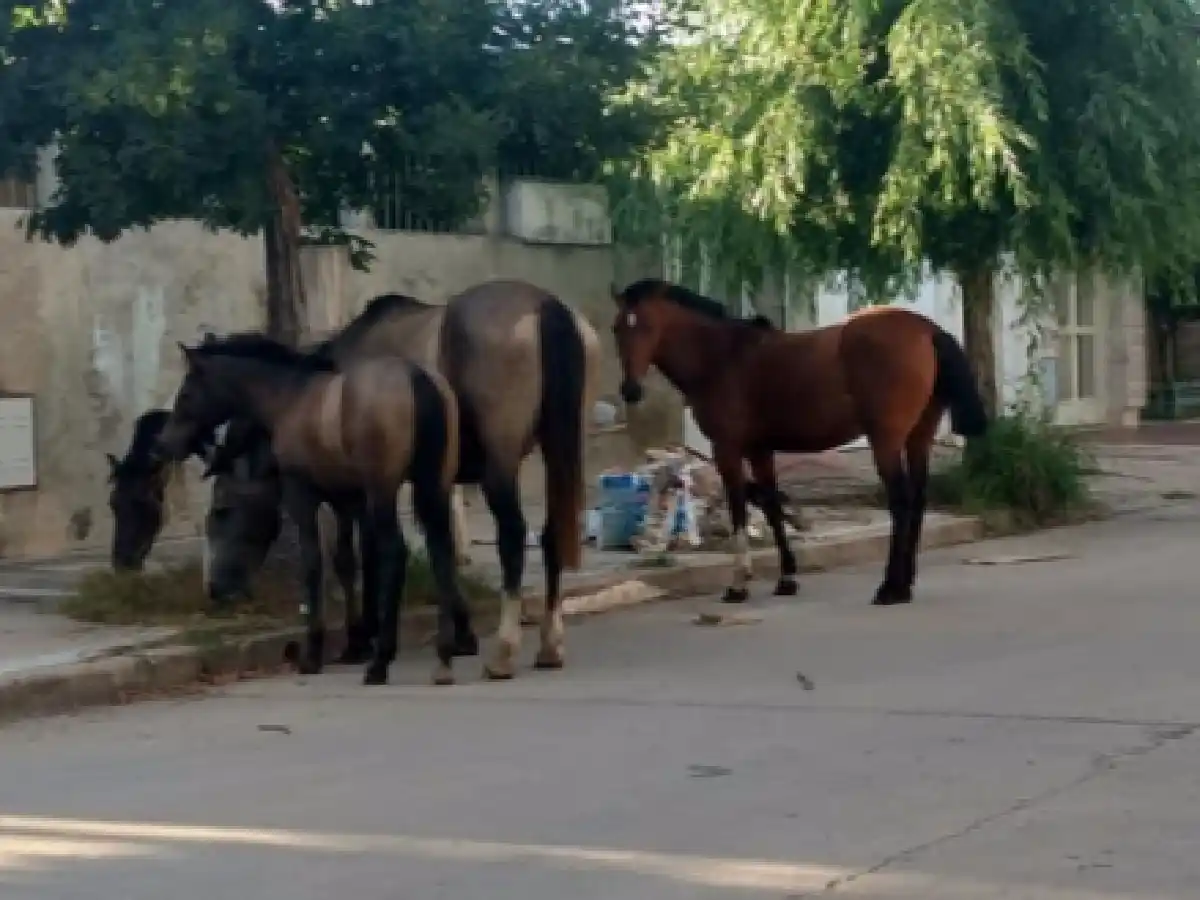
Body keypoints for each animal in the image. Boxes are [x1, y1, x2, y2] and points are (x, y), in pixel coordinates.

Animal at [154, 332, 477, 687]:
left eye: (186, 393)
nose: (163, 444)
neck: (287, 398)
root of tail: (416, 377)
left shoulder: (303, 495)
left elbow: (314, 563)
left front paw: (315, 653)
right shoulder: (347, 500)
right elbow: (347, 562)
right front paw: (354, 642)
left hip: (384, 490)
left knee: (396, 552)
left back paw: (382, 662)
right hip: (433, 484)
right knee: (441, 549)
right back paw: (444, 655)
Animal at [207, 282, 600, 681]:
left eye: (222, 510)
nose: (217, 589)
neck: (310, 399)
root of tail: (545, 305)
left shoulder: (364, 490)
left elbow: (365, 556)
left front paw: (362, 640)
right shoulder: (419, 483)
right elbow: (434, 546)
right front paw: (458, 633)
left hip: (500, 464)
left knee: (512, 536)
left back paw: (503, 652)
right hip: (561, 451)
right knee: (552, 534)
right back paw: (549, 646)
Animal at [611, 279, 988, 606]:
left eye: (647, 326)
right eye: (617, 329)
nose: (630, 390)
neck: (720, 357)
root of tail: (927, 329)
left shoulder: (727, 449)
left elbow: (739, 508)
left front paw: (739, 584)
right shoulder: (760, 450)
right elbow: (771, 505)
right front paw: (787, 578)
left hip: (886, 440)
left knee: (900, 501)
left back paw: (889, 588)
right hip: (918, 437)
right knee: (918, 500)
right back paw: (905, 585)